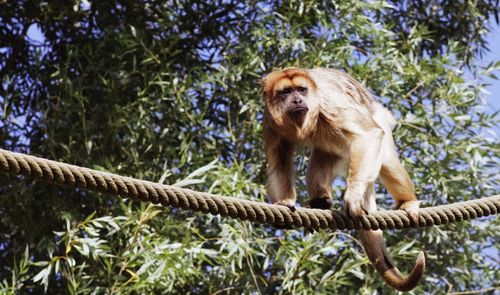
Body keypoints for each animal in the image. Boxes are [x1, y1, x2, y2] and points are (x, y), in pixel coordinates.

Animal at [262, 67, 426, 294]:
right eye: (285, 92)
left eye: (301, 90)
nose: (297, 100)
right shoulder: (270, 122)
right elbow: (278, 165)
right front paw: (285, 203)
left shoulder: (329, 104)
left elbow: (368, 135)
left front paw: (354, 197)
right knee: (318, 165)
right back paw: (320, 202)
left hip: (379, 117)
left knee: (384, 157)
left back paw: (407, 202)